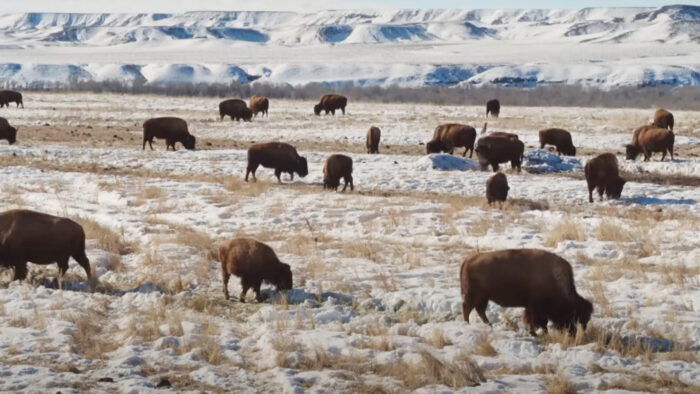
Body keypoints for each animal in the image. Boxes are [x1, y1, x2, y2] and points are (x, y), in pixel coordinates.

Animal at [462, 249, 592, 336]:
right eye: (574, 315)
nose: (574, 334)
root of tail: (469, 259)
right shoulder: (536, 307)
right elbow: (539, 322)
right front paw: (538, 333)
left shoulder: (532, 307)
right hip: (474, 295)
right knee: (467, 309)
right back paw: (468, 324)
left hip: (483, 297)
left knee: (479, 310)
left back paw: (489, 325)